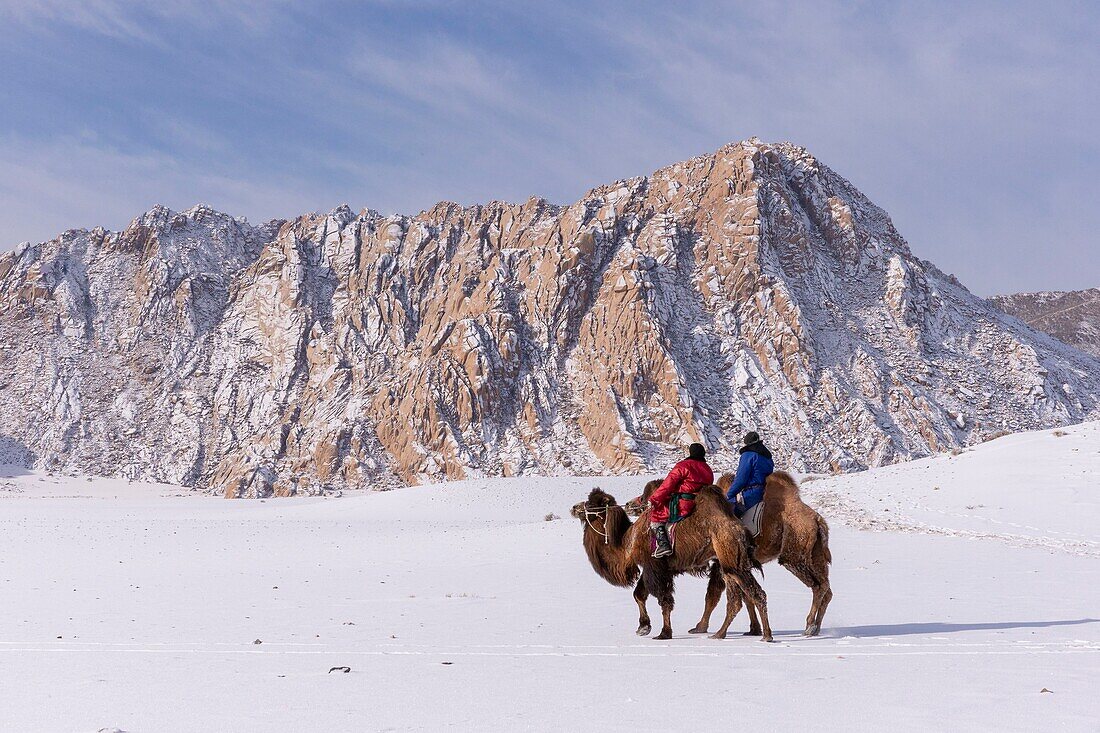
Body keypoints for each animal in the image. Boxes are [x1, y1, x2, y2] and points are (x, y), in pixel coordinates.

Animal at [572, 484, 770, 638]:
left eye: (591, 503)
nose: (574, 507)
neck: (626, 542)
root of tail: (742, 530)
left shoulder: (654, 566)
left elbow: (663, 599)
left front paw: (664, 633)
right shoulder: (654, 568)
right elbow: (639, 594)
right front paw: (643, 627)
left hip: (731, 560)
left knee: (744, 595)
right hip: (729, 563)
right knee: (742, 596)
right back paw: (737, 633)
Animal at [629, 468, 831, 633]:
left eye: (645, 497)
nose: (631, 504)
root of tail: (817, 520)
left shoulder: (720, 560)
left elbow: (713, 594)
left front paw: (700, 627)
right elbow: (745, 596)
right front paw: (754, 629)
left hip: (794, 550)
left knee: (817, 584)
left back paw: (810, 625)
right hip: (816, 552)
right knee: (826, 587)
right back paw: (816, 626)